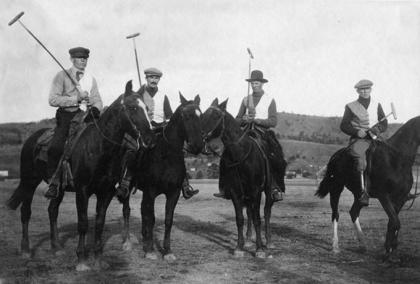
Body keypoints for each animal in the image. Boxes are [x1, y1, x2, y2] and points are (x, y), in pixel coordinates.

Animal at [6, 81, 156, 272]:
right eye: (132, 107)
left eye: (146, 107)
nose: (150, 139)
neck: (98, 147)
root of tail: (32, 139)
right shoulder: (82, 191)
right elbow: (83, 223)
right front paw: (82, 260)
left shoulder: (106, 192)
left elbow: (99, 223)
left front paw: (98, 259)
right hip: (29, 182)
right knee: (26, 212)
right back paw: (25, 249)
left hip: (58, 189)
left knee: (52, 211)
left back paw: (56, 248)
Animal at [119, 94, 204, 260]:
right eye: (186, 116)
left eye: (200, 115)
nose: (197, 145)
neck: (166, 156)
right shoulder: (151, 192)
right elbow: (151, 218)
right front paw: (151, 250)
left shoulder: (173, 193)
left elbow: (168, 219)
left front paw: (167, 251)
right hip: (129, 189)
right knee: (127, 210)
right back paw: (127, 242)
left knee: (142, 211)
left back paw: (144, 239)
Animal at [199, 98, 286, 258]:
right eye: (202, 114)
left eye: (216, 116)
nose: (199, 136)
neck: (241, 155)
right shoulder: (236, 192)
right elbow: (240, 219)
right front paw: (239, 247)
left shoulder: (256, 191)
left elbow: (258, 219)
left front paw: (259, 249)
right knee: (250, 213)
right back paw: (248, 239)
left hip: (268, 192)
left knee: (267, 212)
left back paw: (268, 242)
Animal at [316, 116, 420, 262]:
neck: (397, 159)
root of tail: (336, 155)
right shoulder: (384, 197)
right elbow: (395, 222)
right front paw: (388, 251)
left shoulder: (400, 199)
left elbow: (393, 223)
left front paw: (390, 249)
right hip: (336, 187)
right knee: (335, 214)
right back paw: (335, 246)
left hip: (358, 195)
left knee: (354, 212)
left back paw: (363, 244)